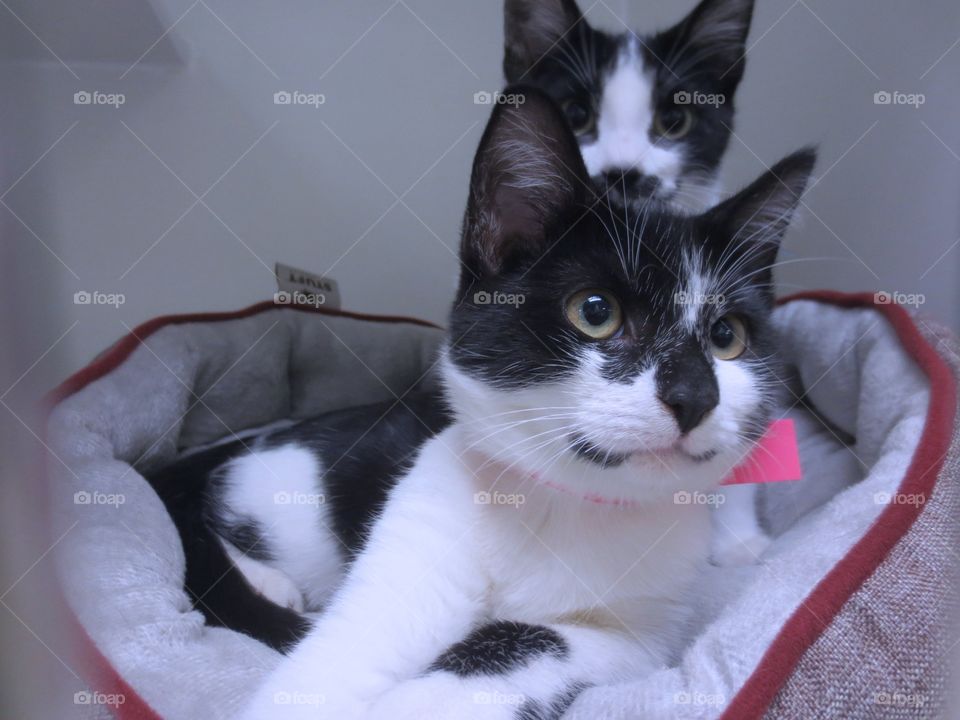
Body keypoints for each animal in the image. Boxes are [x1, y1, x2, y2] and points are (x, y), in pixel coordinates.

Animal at [223, 90, 808, 720]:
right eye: (595, 311)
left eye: (727, 336)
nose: (695, 395)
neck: (562, 504)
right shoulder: (424, 520)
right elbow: (335, 666)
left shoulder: (643, 626)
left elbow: (529, 643)